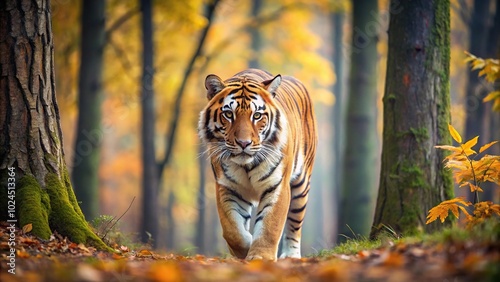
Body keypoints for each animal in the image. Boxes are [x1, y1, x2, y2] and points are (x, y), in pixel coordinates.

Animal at [198, 67, 316, 260]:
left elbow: (270, 226)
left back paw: (291, 255)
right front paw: (245, 248)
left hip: (301, 184)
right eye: (228, 114)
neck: (246, 165)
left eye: (257, 115)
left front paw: (261, 256)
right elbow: (232, 231)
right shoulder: (227, 187)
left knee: (294, 223)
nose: (243, 143)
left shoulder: (278, 186)